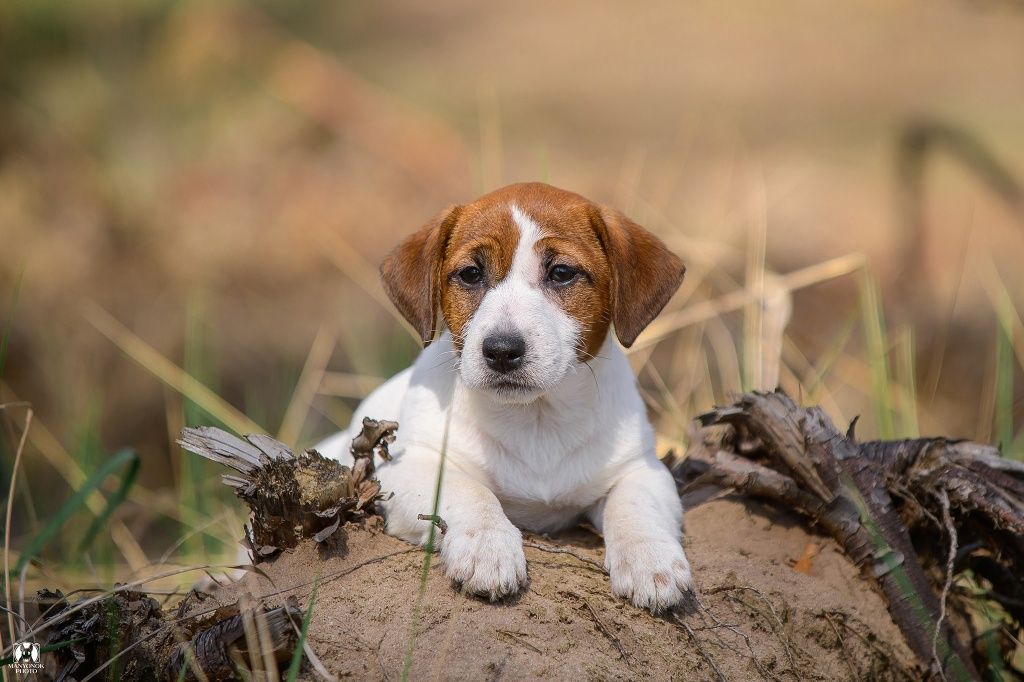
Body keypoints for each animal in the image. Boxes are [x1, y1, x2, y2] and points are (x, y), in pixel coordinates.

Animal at [315, 180, 692, 610]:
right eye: (471, 274)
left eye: (561, 273)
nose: (501, 350)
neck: (536, 419)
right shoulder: (409, 466)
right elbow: (468, 490)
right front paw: (487, 547)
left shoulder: (641, 468)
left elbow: (635, 505)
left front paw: (651, 558)